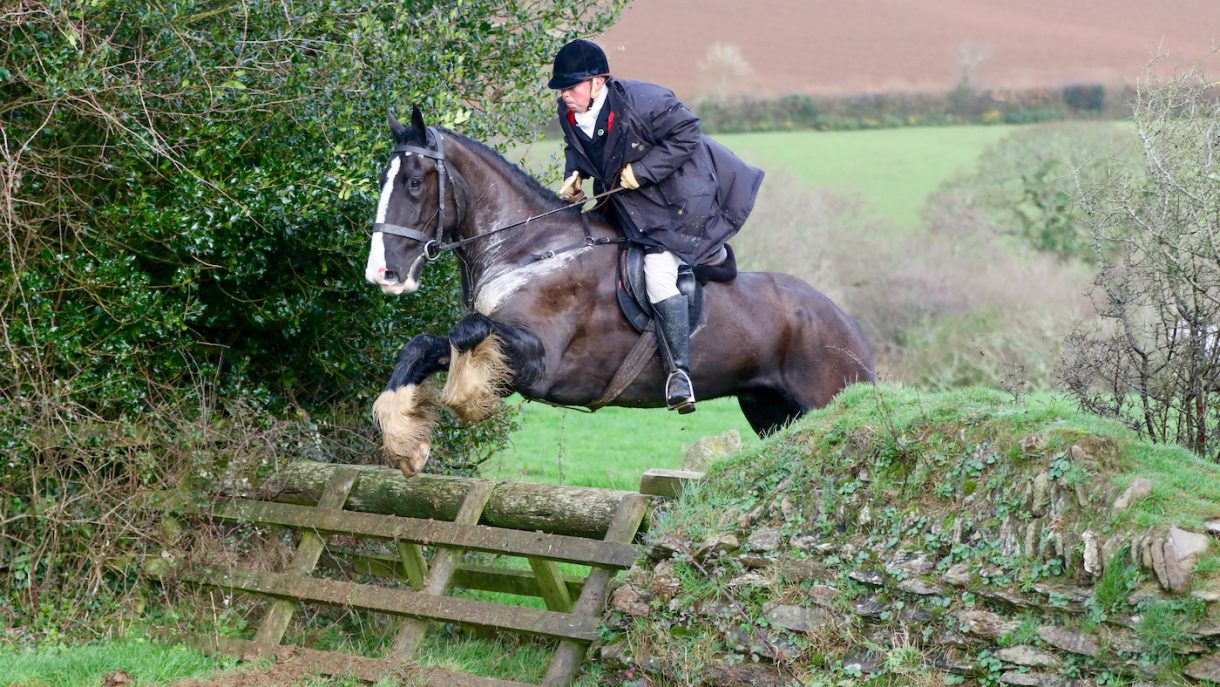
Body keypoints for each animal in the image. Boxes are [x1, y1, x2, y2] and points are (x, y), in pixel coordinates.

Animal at [365, 107, 874, 477]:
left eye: (414, 183)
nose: (382, 274)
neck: (528, 250)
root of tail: (847, 322)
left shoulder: (539, 364)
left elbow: (465, 332)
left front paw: (465, 399)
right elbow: (423, 346)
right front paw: (405, 442)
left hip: (826, 395)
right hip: (771, 410)